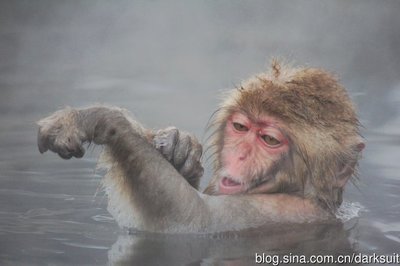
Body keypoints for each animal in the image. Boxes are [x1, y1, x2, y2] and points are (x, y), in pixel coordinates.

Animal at [36, 61, 362, 233]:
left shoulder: (281, 211)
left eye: (269, 140)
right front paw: (180, 148)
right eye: (241, 127)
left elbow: (192, 219)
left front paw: (98, 118)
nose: (240, 154)